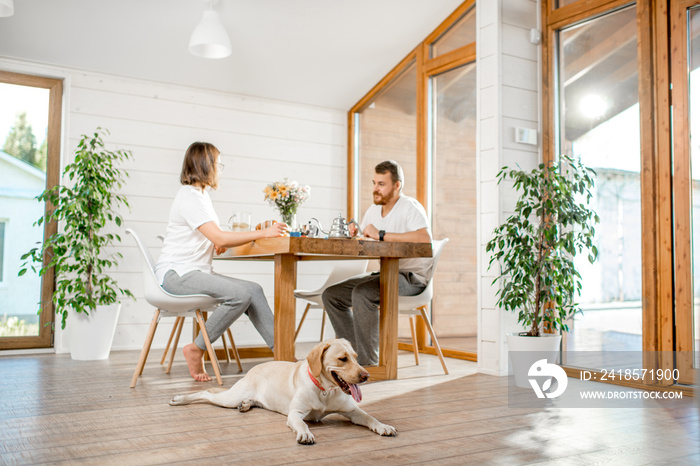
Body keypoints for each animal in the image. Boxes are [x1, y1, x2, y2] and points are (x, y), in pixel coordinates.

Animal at [170, 336, 396, 442]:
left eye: (356, 358)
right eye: (343, 359)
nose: (366, 376)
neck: (324, 390)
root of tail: (254, 368)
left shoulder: (353, 411)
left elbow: (370, 417)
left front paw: (383, 426)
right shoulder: (295, 413)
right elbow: (302, 424)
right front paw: (305, 434)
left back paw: (246, 404)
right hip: (229, 398)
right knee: (206, 393)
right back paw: (180, 399)